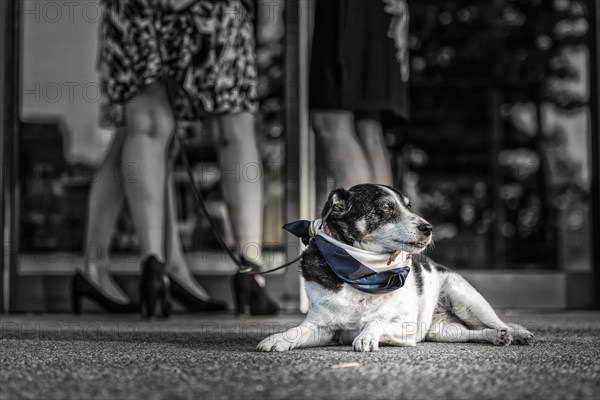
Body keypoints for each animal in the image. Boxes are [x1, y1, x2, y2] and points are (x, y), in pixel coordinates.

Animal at [258, 183, 536, 352]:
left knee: (496, 322)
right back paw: (497, 337)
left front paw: (366, 335)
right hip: (443, 331)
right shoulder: (322, 327)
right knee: (471, 333)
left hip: (467, 301)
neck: (363, 272)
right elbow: (296, 331)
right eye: (384, 208)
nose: (428, 227)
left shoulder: (406, 326)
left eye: (408, 206)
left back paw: (515, 332)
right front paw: (277, 339)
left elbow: (376, 321)